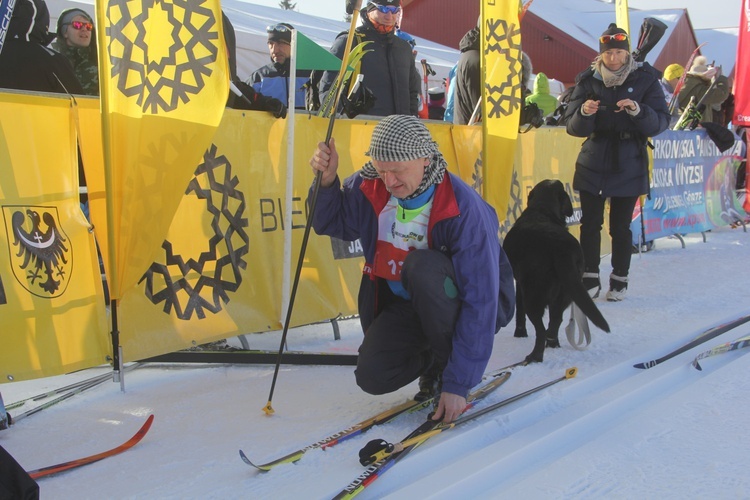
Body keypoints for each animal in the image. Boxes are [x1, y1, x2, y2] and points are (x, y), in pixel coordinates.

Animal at [506, 180, 612, 364]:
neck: (542, 209)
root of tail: (561, 249)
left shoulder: (519, 283)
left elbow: (519, 311)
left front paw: (520, 333)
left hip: (534, 294)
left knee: (541, 330)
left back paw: (535, 356)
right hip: (567, 291)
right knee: (555, 320)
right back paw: (553, 343)